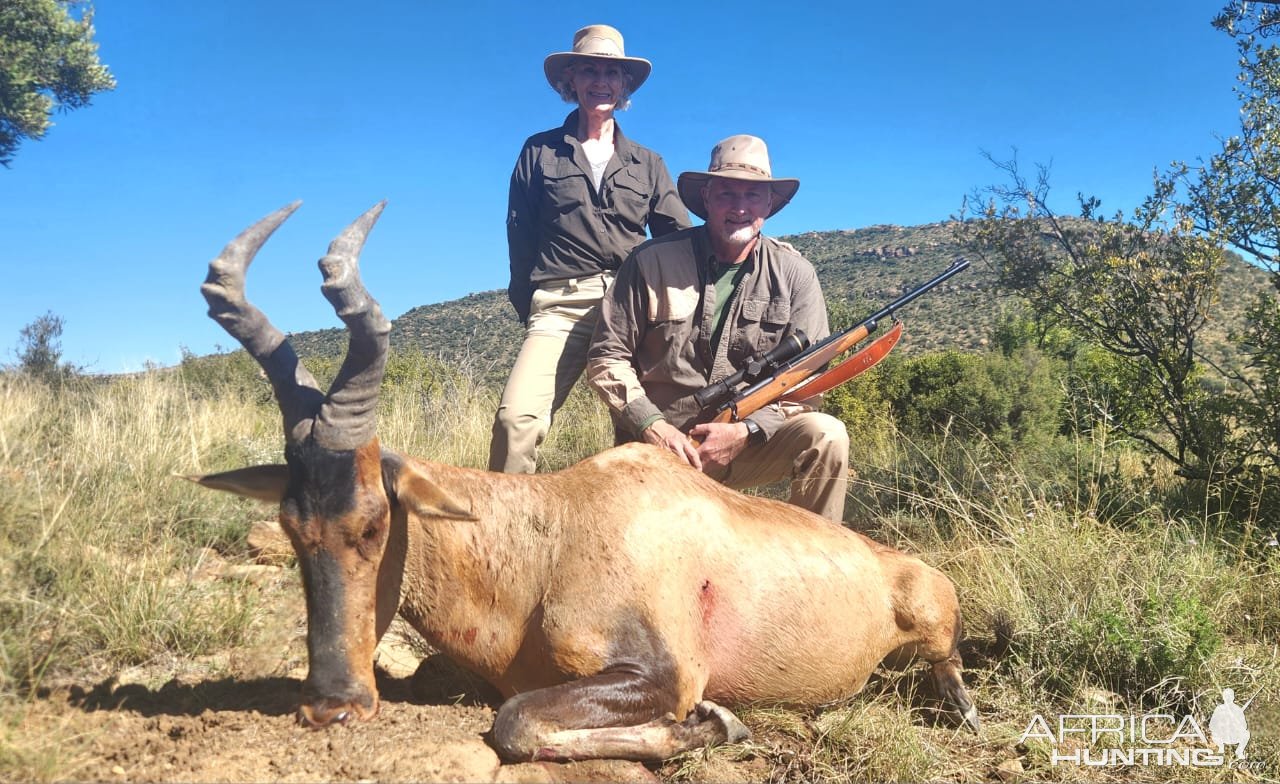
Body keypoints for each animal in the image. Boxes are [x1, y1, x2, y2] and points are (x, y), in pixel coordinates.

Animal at [192, 204, 977, 763]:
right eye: (293, 526)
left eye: (375, 521)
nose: (331, 705)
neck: (552, 530)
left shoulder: (662, 673)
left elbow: (515, 723)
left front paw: (717, 725)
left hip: (934, 624)